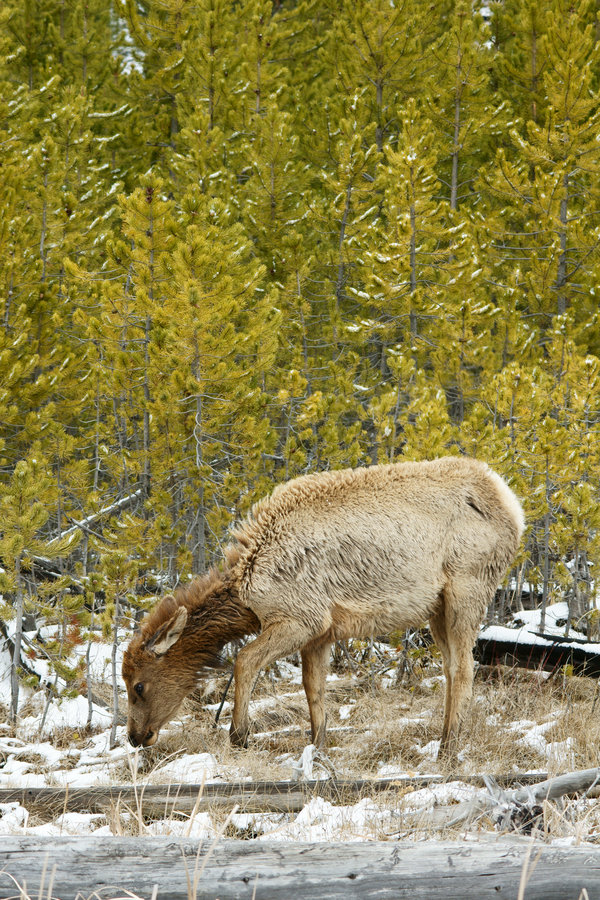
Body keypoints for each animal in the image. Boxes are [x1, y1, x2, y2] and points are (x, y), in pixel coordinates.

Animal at [123, 454, 524, 756]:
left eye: (138, 686)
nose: (135, 736)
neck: (246, 593)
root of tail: (513, 506)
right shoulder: (321, 633)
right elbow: (313, 689)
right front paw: (318, 745)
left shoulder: (302, 619)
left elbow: (244, 660)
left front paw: (239, 734)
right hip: (437, 608)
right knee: (452, 666)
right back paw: (443, 738)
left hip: (468, 587)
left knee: (464, 667)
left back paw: (449, 747)